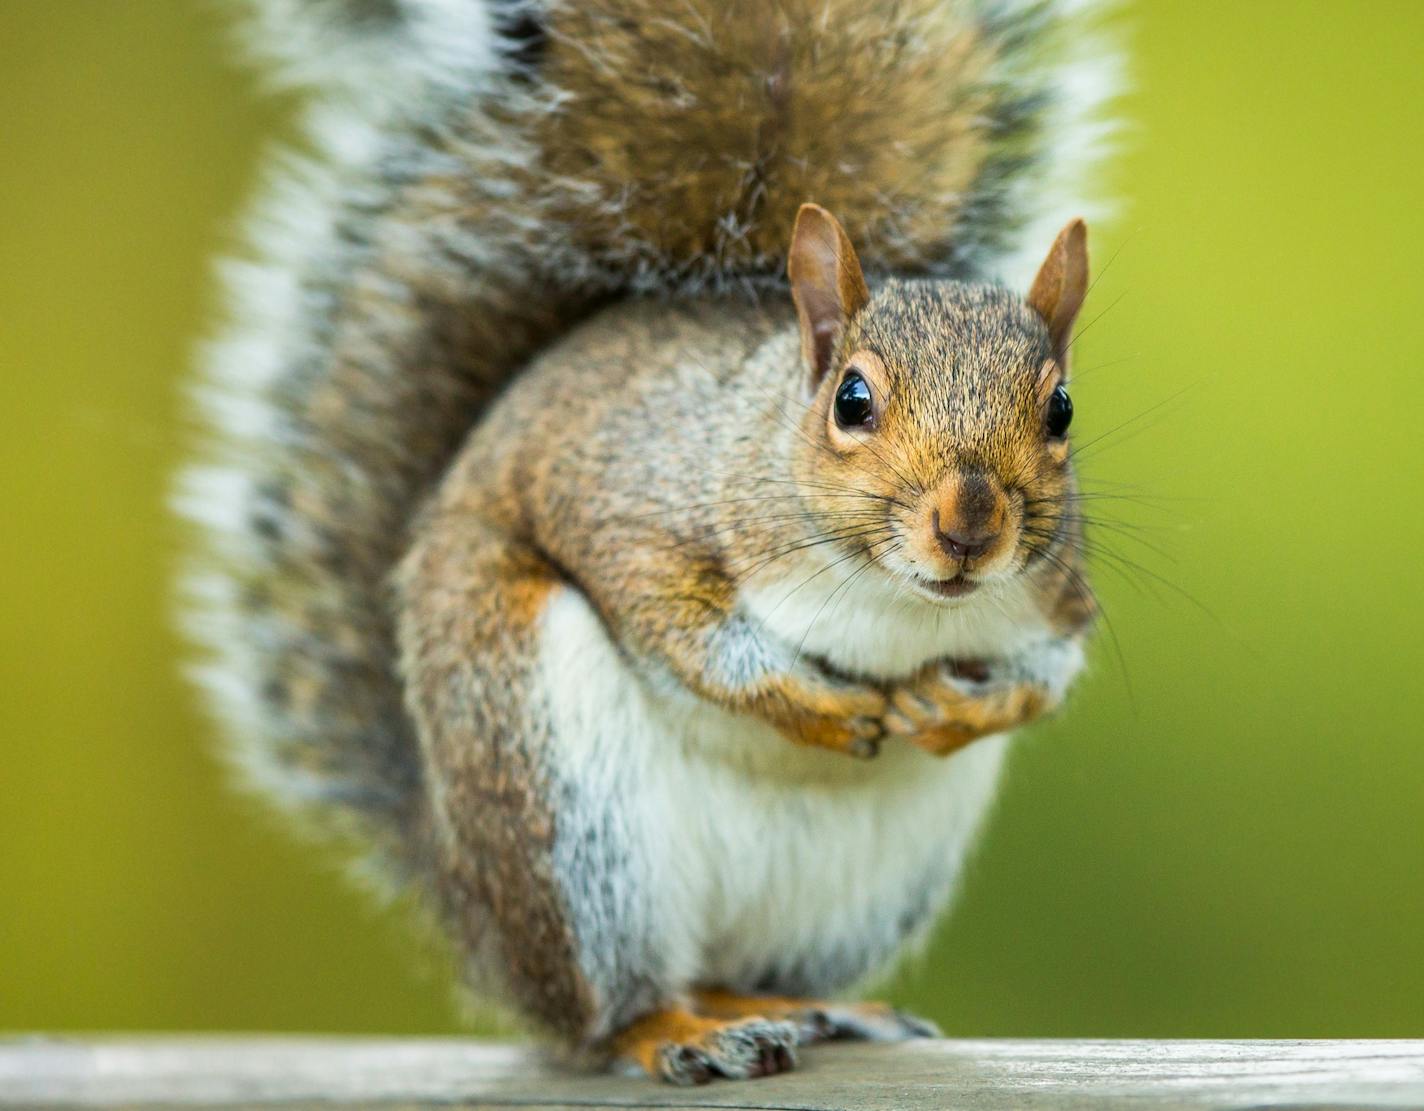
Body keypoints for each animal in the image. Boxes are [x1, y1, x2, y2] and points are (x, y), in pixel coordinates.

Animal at [178, 0, 1116, 1082]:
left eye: (1059, 409)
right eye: (852, 401)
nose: (970, 524)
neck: (895, 601)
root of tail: (462, 891)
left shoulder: (1055, 596)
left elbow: (1051, 667)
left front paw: (970, 706)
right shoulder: (634, 509)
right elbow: (680, 627)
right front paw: (811, 703)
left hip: (866, 887)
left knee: (731, 968)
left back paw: (799, 1006)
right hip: (559, 805)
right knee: (607, 1008)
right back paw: (674, 1029)